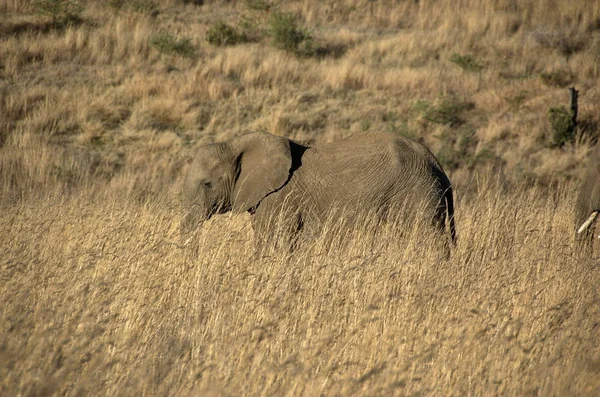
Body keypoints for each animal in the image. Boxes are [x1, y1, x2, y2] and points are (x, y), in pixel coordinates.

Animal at [180, 131, 458, 251]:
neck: (235, 143)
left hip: (415, 196)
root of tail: (437, 166)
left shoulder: (279, 199)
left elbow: (272, 241)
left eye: (207, 184)